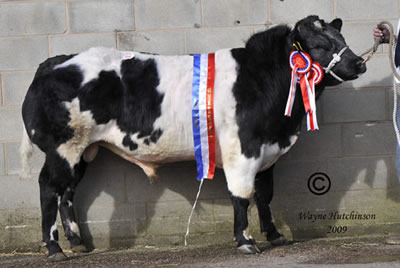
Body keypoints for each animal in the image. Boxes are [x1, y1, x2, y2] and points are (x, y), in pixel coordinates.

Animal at [21, 15, 366, 260]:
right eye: (319, 46)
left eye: (341, 38)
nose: (359, 63)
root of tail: (54, 61)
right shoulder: (243, 149)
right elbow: (242, 195)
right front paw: (246, 241)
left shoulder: (267, 152)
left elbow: (265, 195)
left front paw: (275, 236)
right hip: (63, 147)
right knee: (48, 189)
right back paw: (55, 250)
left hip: (82, 151)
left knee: (66, 193)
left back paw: (77, 243)